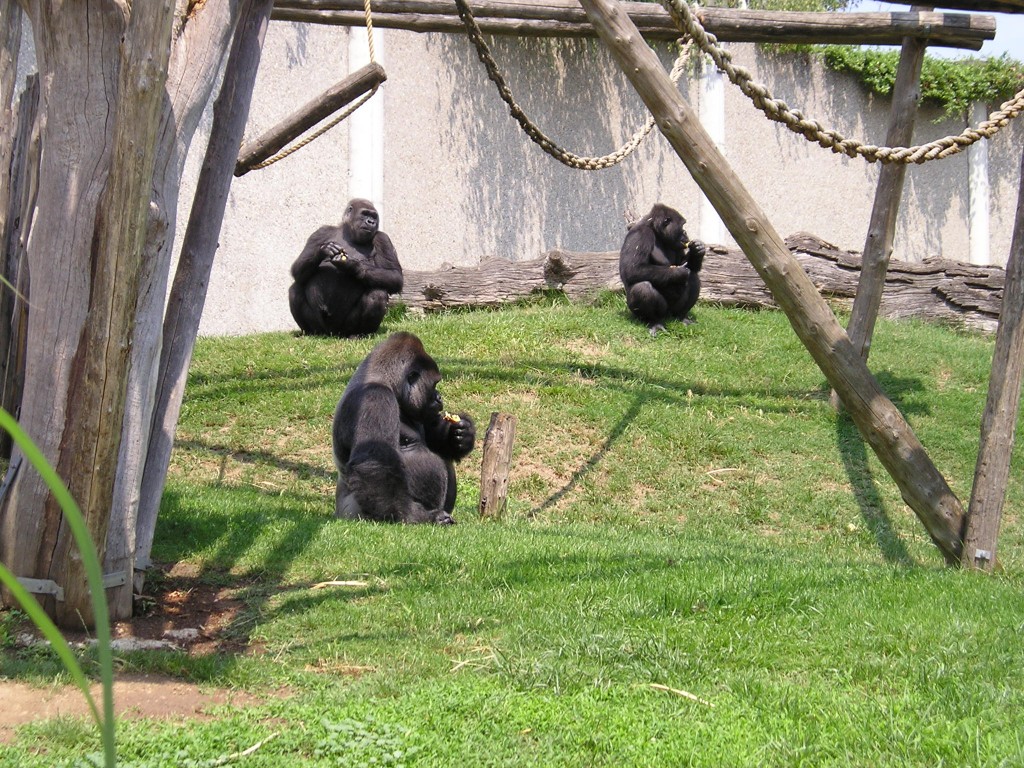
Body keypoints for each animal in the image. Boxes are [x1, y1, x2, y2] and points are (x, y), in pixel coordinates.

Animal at [288, 199, 403, 337]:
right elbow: (297, 271)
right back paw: (310, 333)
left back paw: (360, 334)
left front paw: (352, 265)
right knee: (295, 289)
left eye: (374, 216)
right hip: (322, 328)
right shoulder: (320, 232)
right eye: (365, 214)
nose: (371, 222)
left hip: (345, 328)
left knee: (377, 293)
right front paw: (323, 250)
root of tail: (333, 334)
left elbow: (395, 276)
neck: (349, 234)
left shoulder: (382, 238)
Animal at [331, 333, 475, 528]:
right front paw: (413, 516)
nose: (439, 397)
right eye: (434, 384)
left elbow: (434, 438)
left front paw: (462, 434)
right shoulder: (375, 398)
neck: (385, 380)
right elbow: (373, 464)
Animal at [614, 204, 704, 335]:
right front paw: (678, 273)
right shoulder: (640, 234)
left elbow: (685, 264)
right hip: (646, 313)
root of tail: (668, 317)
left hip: (673, 313)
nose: (685, 232)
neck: (656, 232)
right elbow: (632, 269)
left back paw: (682, 316)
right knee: (643, 288)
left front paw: (697, 251)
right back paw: (655, 322)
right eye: (682, 225)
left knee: (693, 276)